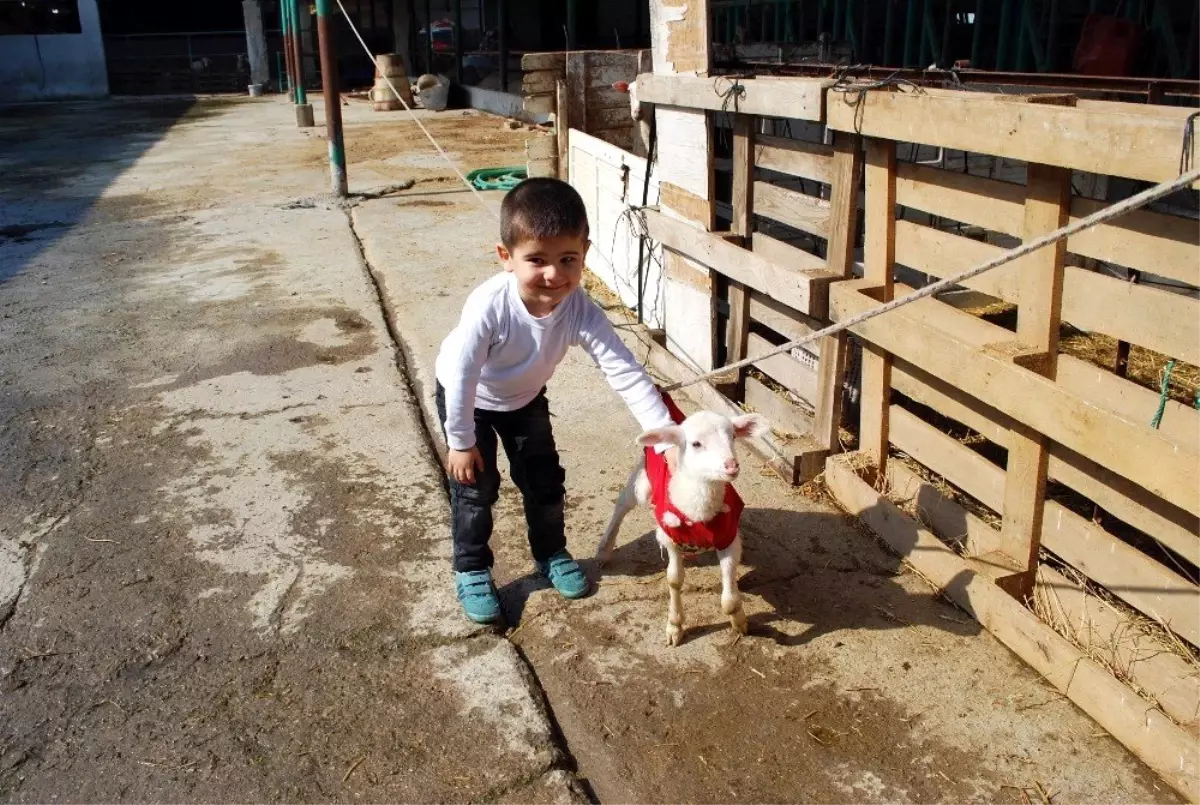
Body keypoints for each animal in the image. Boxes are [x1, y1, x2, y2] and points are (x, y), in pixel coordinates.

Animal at [592, 410, 768, 647]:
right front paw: (675, 626)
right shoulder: (669, 537)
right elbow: (674, 580)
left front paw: (739, 622)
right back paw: (604, 550)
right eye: (696, 444)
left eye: (733, 437)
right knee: (622, 504)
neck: (699, 511)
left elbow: (729, 597)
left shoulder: (728, 537)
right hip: (642, 483)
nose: (731, 465)